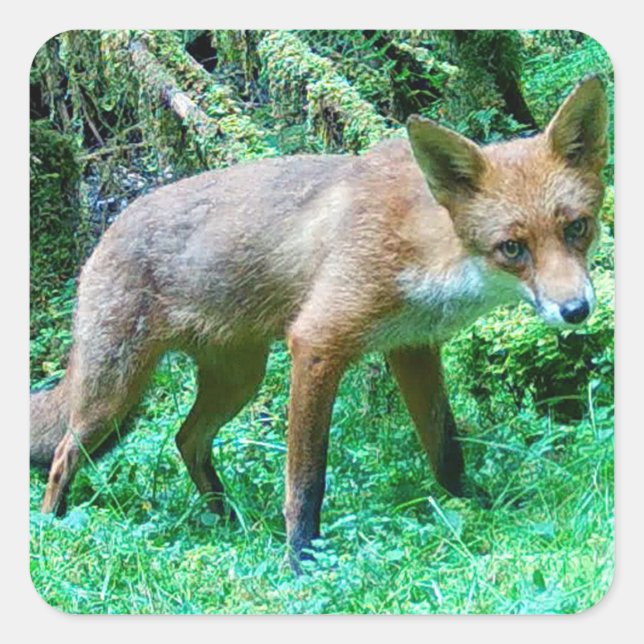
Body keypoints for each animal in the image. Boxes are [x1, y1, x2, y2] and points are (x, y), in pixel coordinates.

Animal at [31, 77, 608, 570]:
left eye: (577, 228)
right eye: (512, 248)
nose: (576, 311)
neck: (421, 243)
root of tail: (107, 231)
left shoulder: (412, 347)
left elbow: (446, 449)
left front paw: (475, 505)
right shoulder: (316, 344)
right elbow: (306, 481)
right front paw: (300, 563)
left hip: (238, 380)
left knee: (185, 439)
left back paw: (223, 517)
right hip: (114, 393)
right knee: (63, 455)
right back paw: (53, 530)